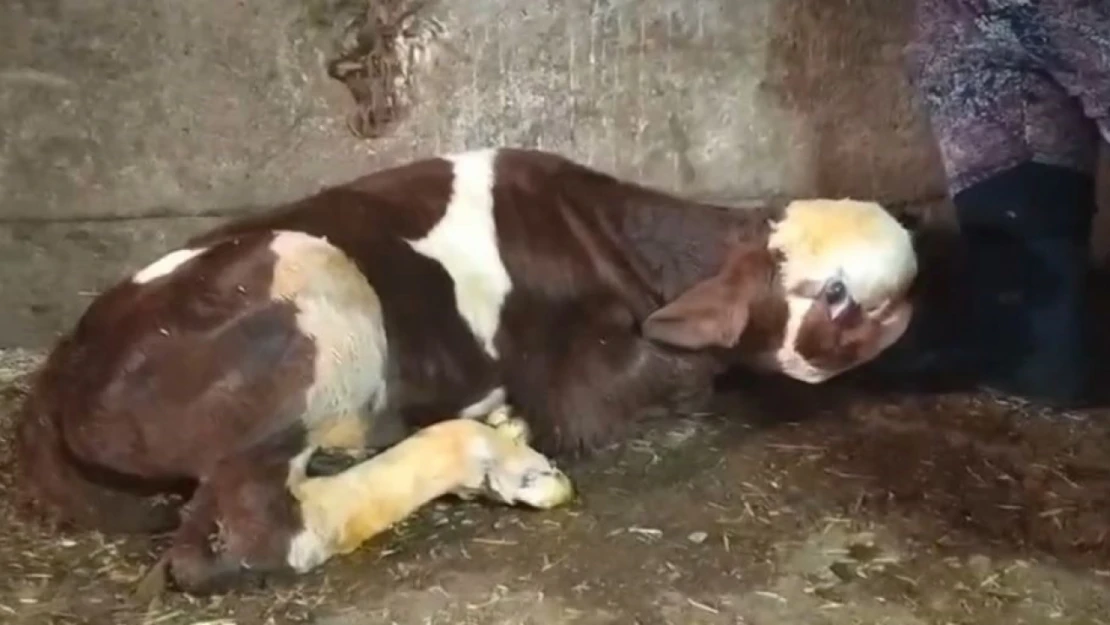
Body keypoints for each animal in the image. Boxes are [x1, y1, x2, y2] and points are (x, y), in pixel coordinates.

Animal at [15, 146, 919, 595]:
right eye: (835, 293)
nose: (907, 301)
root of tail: (56, 384)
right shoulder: (581, 383)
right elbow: (669, 377)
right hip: (313, 278)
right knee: (248, 533)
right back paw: (499, 458)